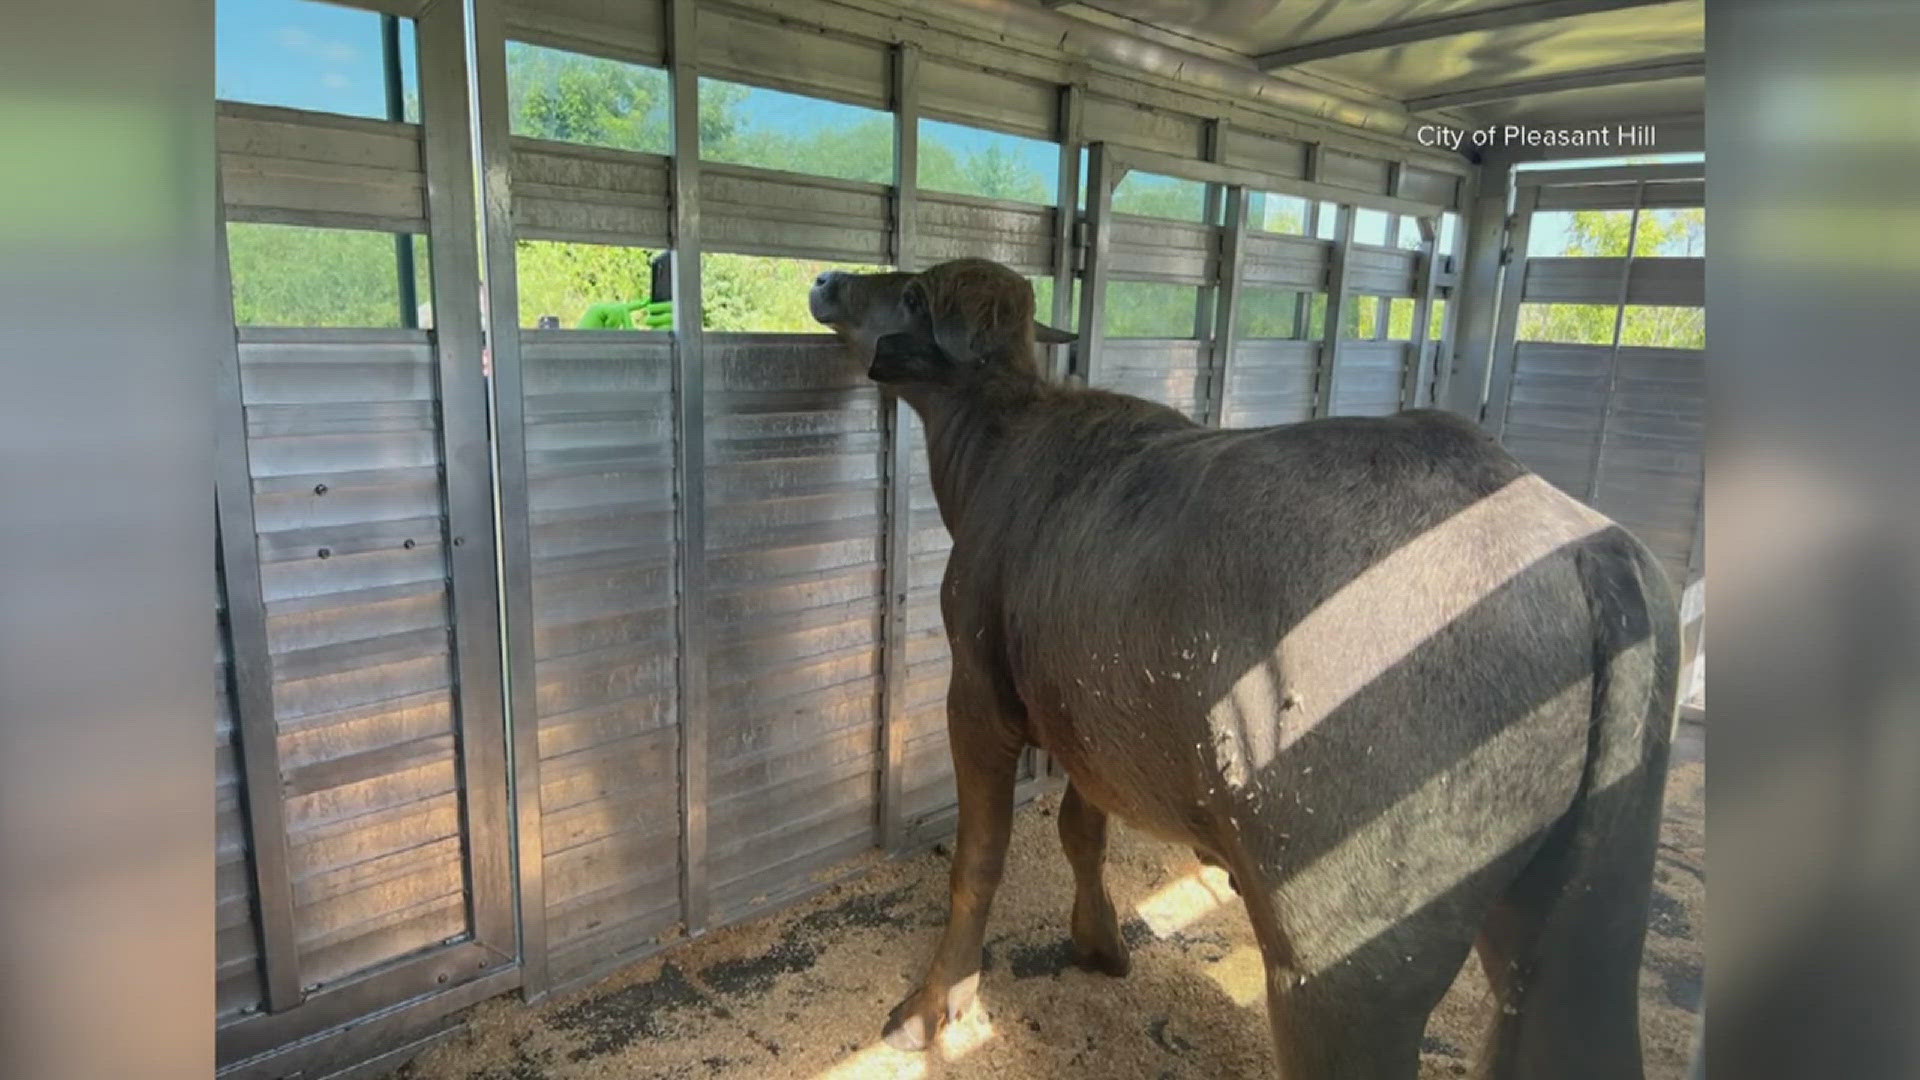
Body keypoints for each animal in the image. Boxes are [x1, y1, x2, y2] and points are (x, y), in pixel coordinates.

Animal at [802, 255, 1674, 1068]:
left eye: (910, 289)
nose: (827, 279)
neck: (1001, 446)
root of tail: (1588, 554)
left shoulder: (980, 697)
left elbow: (978, 861)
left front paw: (932, 1006)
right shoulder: (1092, 723)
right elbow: (1084, 828)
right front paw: (1100, 941)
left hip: (1344, 970)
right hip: (1582, 933)